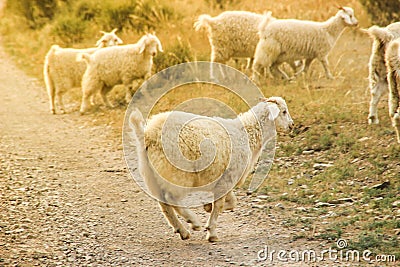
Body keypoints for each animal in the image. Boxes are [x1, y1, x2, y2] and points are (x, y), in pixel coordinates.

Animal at [129, 97, 294, 243]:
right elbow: (220, 205)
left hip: (152, 175)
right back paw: (193, 221)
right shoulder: (228, 179)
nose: (292, 126)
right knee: (171, 199)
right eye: (284, 112)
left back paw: (182, 231)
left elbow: (231, 202)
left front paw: (207, 207)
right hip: (177, 173)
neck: (247, 134)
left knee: (164, 204)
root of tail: (147, 135)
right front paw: (212, 232)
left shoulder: (226, 179)